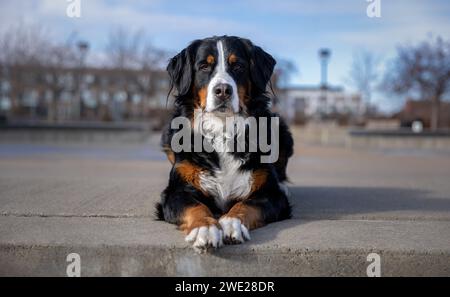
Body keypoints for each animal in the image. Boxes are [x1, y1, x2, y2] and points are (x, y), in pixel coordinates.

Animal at [156, 35, 294, 252]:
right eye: (204, 66)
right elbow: (195, 206)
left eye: (238, 66)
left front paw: (231, 223)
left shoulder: (272, 195)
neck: (223, 130)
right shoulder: (175, 192)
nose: (222, 90)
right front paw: (205, 229)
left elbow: (247, 204)